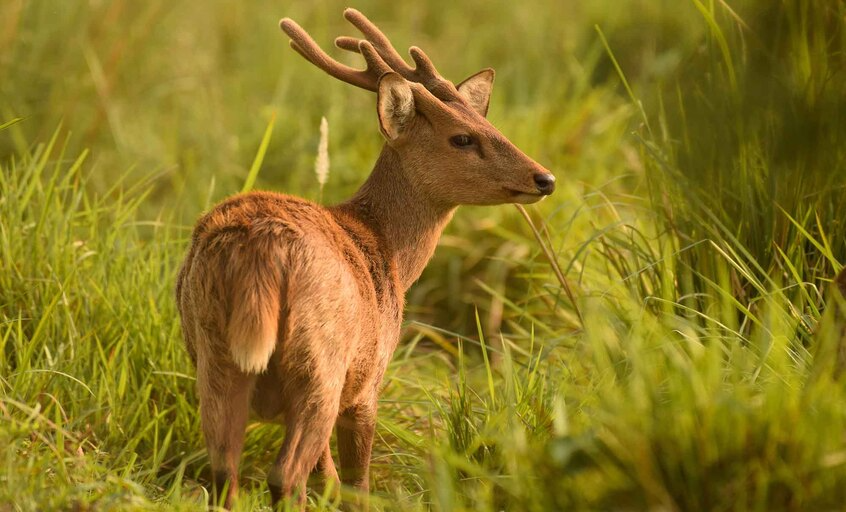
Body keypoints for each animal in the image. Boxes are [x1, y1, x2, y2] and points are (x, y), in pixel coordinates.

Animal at [177, 8, 556, 508]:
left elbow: (328, 480)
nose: (544, 178)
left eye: (494, 127)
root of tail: (260, 249)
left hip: (213, 355)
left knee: (225, 474)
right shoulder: (367, 382)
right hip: (320, 361)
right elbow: (355, 483)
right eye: (462, 138)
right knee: (285, 475)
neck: (388, 250)